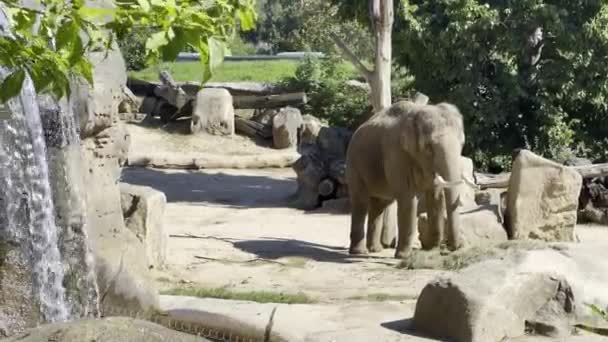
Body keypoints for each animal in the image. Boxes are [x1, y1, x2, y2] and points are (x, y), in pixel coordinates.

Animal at [344, 99, 472, 260]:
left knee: (379, 204)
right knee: (361, 203)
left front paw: (432, 249)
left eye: (462, 144)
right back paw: (360, 252)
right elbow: (408, 199)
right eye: (428, 148)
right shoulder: (396, 154)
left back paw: (375, 250)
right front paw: (404, 256)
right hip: (354, 166)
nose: (454, 248)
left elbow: (435, 198)